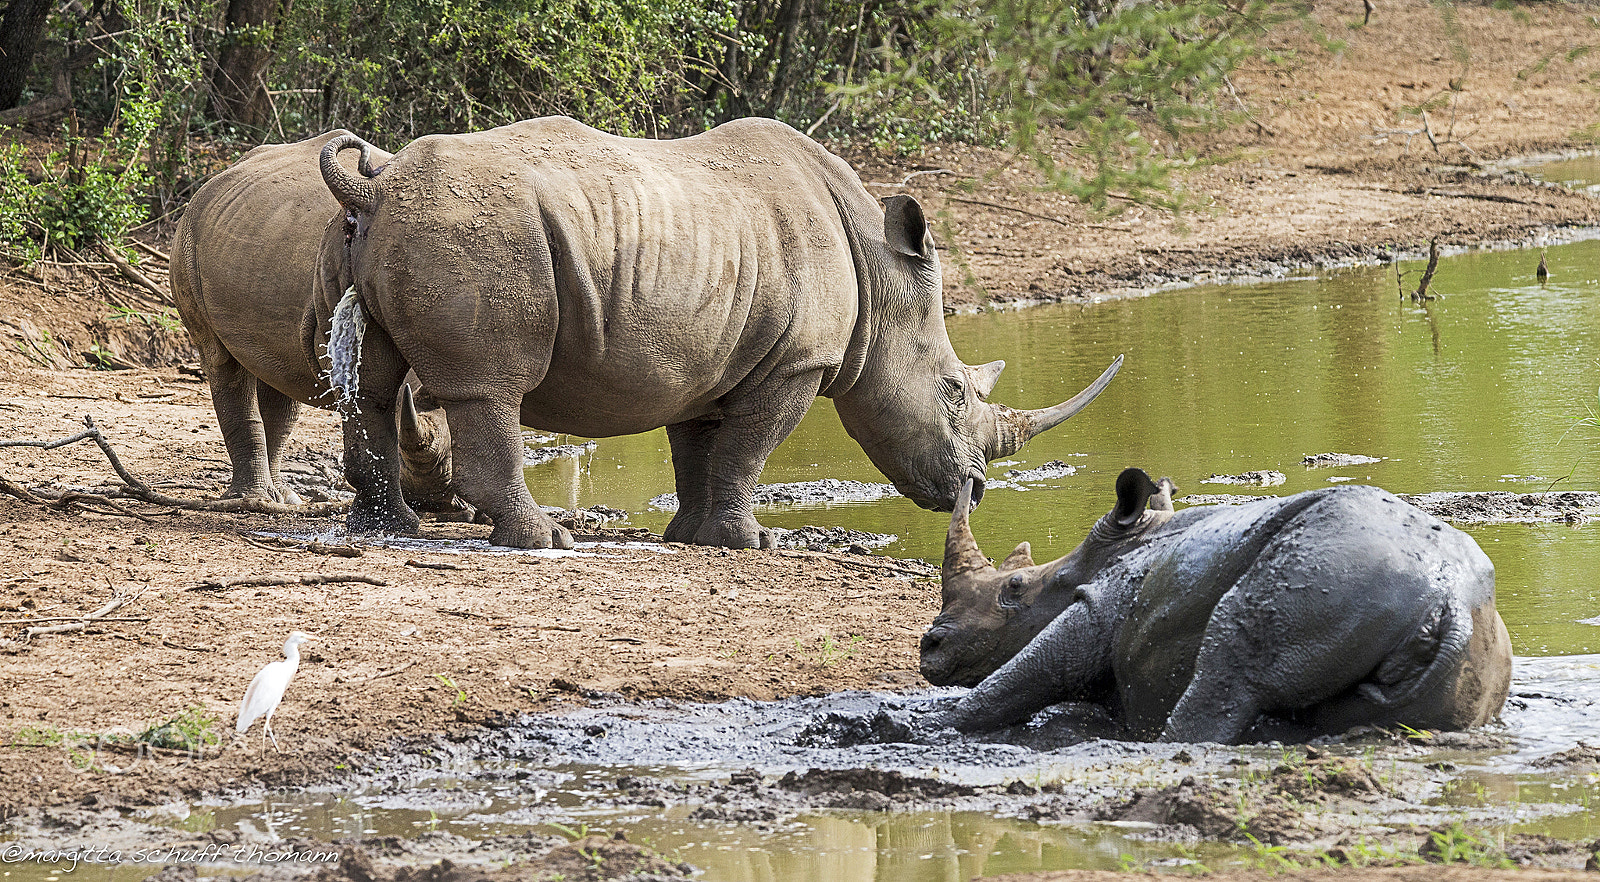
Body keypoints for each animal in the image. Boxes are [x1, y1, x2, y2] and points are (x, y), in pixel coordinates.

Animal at [171, 130, 465, 514]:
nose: (433, 500)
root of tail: (210, 184)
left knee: (282, 376)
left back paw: (283, 497)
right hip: (188, 240)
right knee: (220, 358)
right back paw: (252, 498)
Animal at [314, 116, 1121, 549]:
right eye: (953, 391)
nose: (975, 494)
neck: (880, 273)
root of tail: (377, 186)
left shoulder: (706, 355)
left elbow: (699, 448)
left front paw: (690, 537)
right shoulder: (798, 363)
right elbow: (749, 449)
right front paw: (753, 541)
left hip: (390, 231)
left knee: (376, 384)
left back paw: (389, 529)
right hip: (479, 232)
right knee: (488, 388)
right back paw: (547, 542)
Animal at [921, 469, 1513, 744]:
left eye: (1014, 588)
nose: (930, 646)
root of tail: (1448, 599)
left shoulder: (1097, 605)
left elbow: (1025, 675)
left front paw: (936, 728)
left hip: (1335, 564)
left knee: (1229, 665)